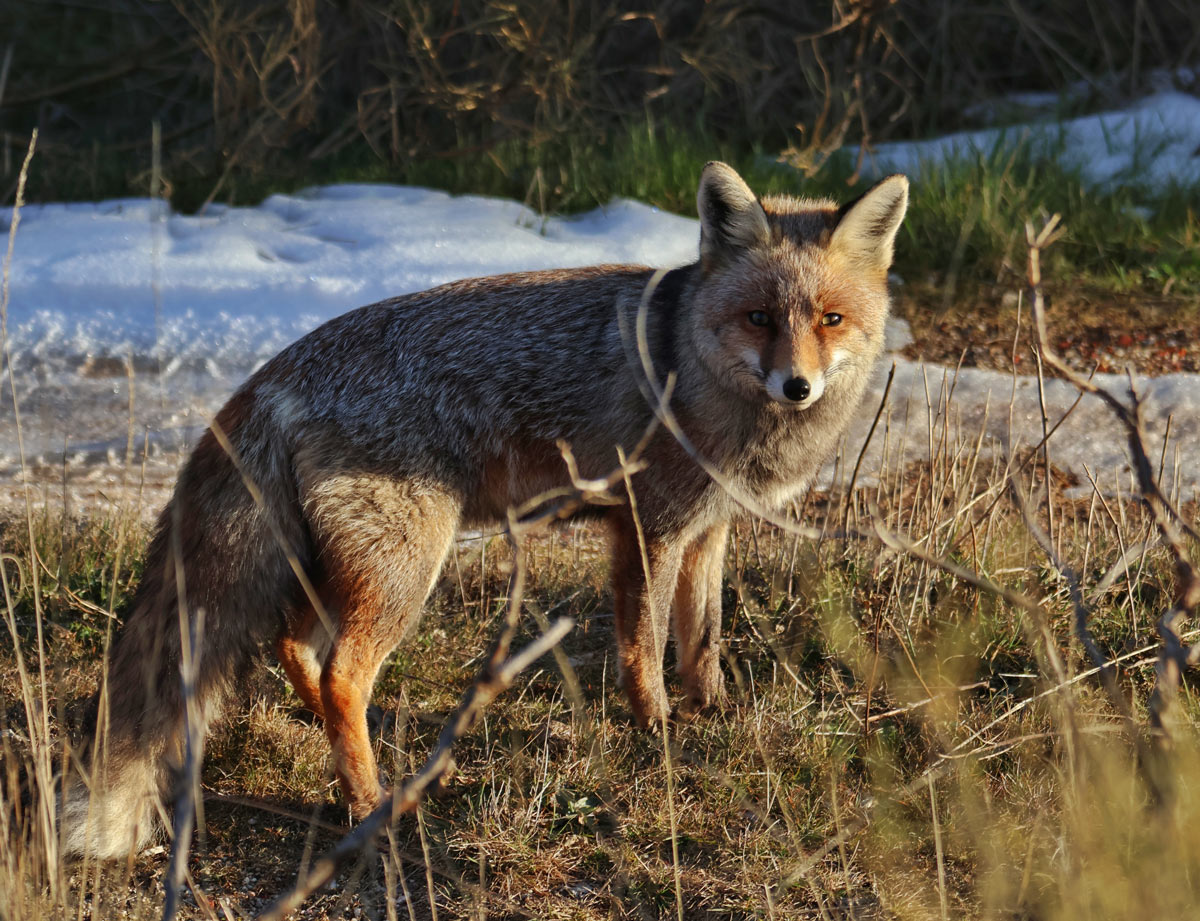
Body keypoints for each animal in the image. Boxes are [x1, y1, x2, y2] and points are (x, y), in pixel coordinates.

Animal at [60, 161, 902, 858]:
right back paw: (371, 802)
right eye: (759, 317)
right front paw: (656, 728)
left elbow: (704, 637)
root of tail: (272, 374)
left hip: (343, 567)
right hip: (404, 567)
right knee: (340, 673)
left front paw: (711, 712)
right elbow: (645, 645)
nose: (797, 385)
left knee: (297, 649)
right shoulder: (649, 526)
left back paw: (343, 747)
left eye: (829, 320)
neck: (689, 366)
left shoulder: (708, 528)